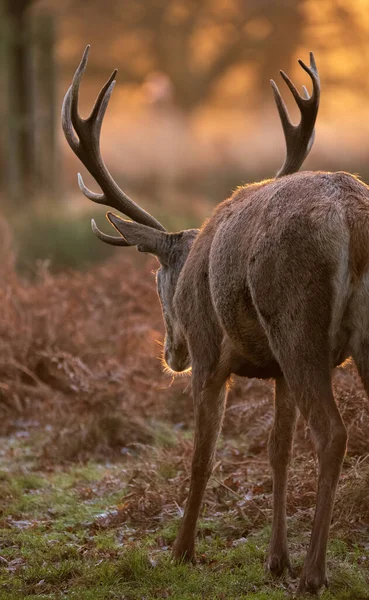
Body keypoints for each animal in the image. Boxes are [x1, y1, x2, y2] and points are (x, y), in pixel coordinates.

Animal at [60, 44, 366, 592]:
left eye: (159, 277)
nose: (171, 353)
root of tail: (351, 216)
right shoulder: (276, 371)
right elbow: (277, 450)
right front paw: (274, 559)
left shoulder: (210, 353)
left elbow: (202, 456)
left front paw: (180, 552)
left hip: (298, 326)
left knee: (332, 434)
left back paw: (314, 575)